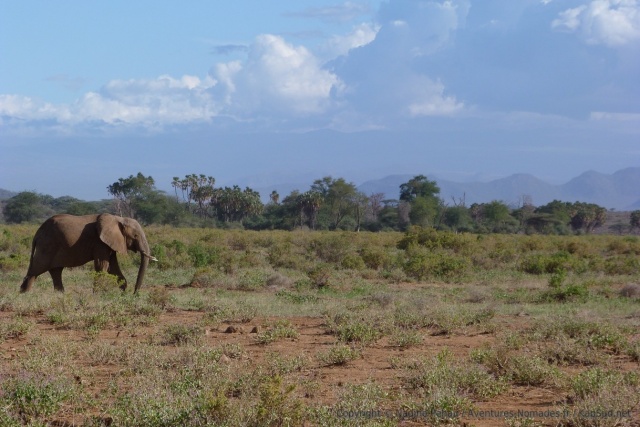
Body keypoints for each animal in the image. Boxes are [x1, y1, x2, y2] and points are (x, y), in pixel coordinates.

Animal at [20, 213, 156, 294]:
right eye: (135, 236)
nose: (135, 294)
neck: (118, 219)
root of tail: (37, 233)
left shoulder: (109, 243)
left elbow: (113, 267)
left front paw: (122, 293)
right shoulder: (100, 242)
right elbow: (102, 266)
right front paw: (98, 296)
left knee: (56, 271)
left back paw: (60, 295)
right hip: (47, 245)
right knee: (35, 270)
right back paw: (25, 294)